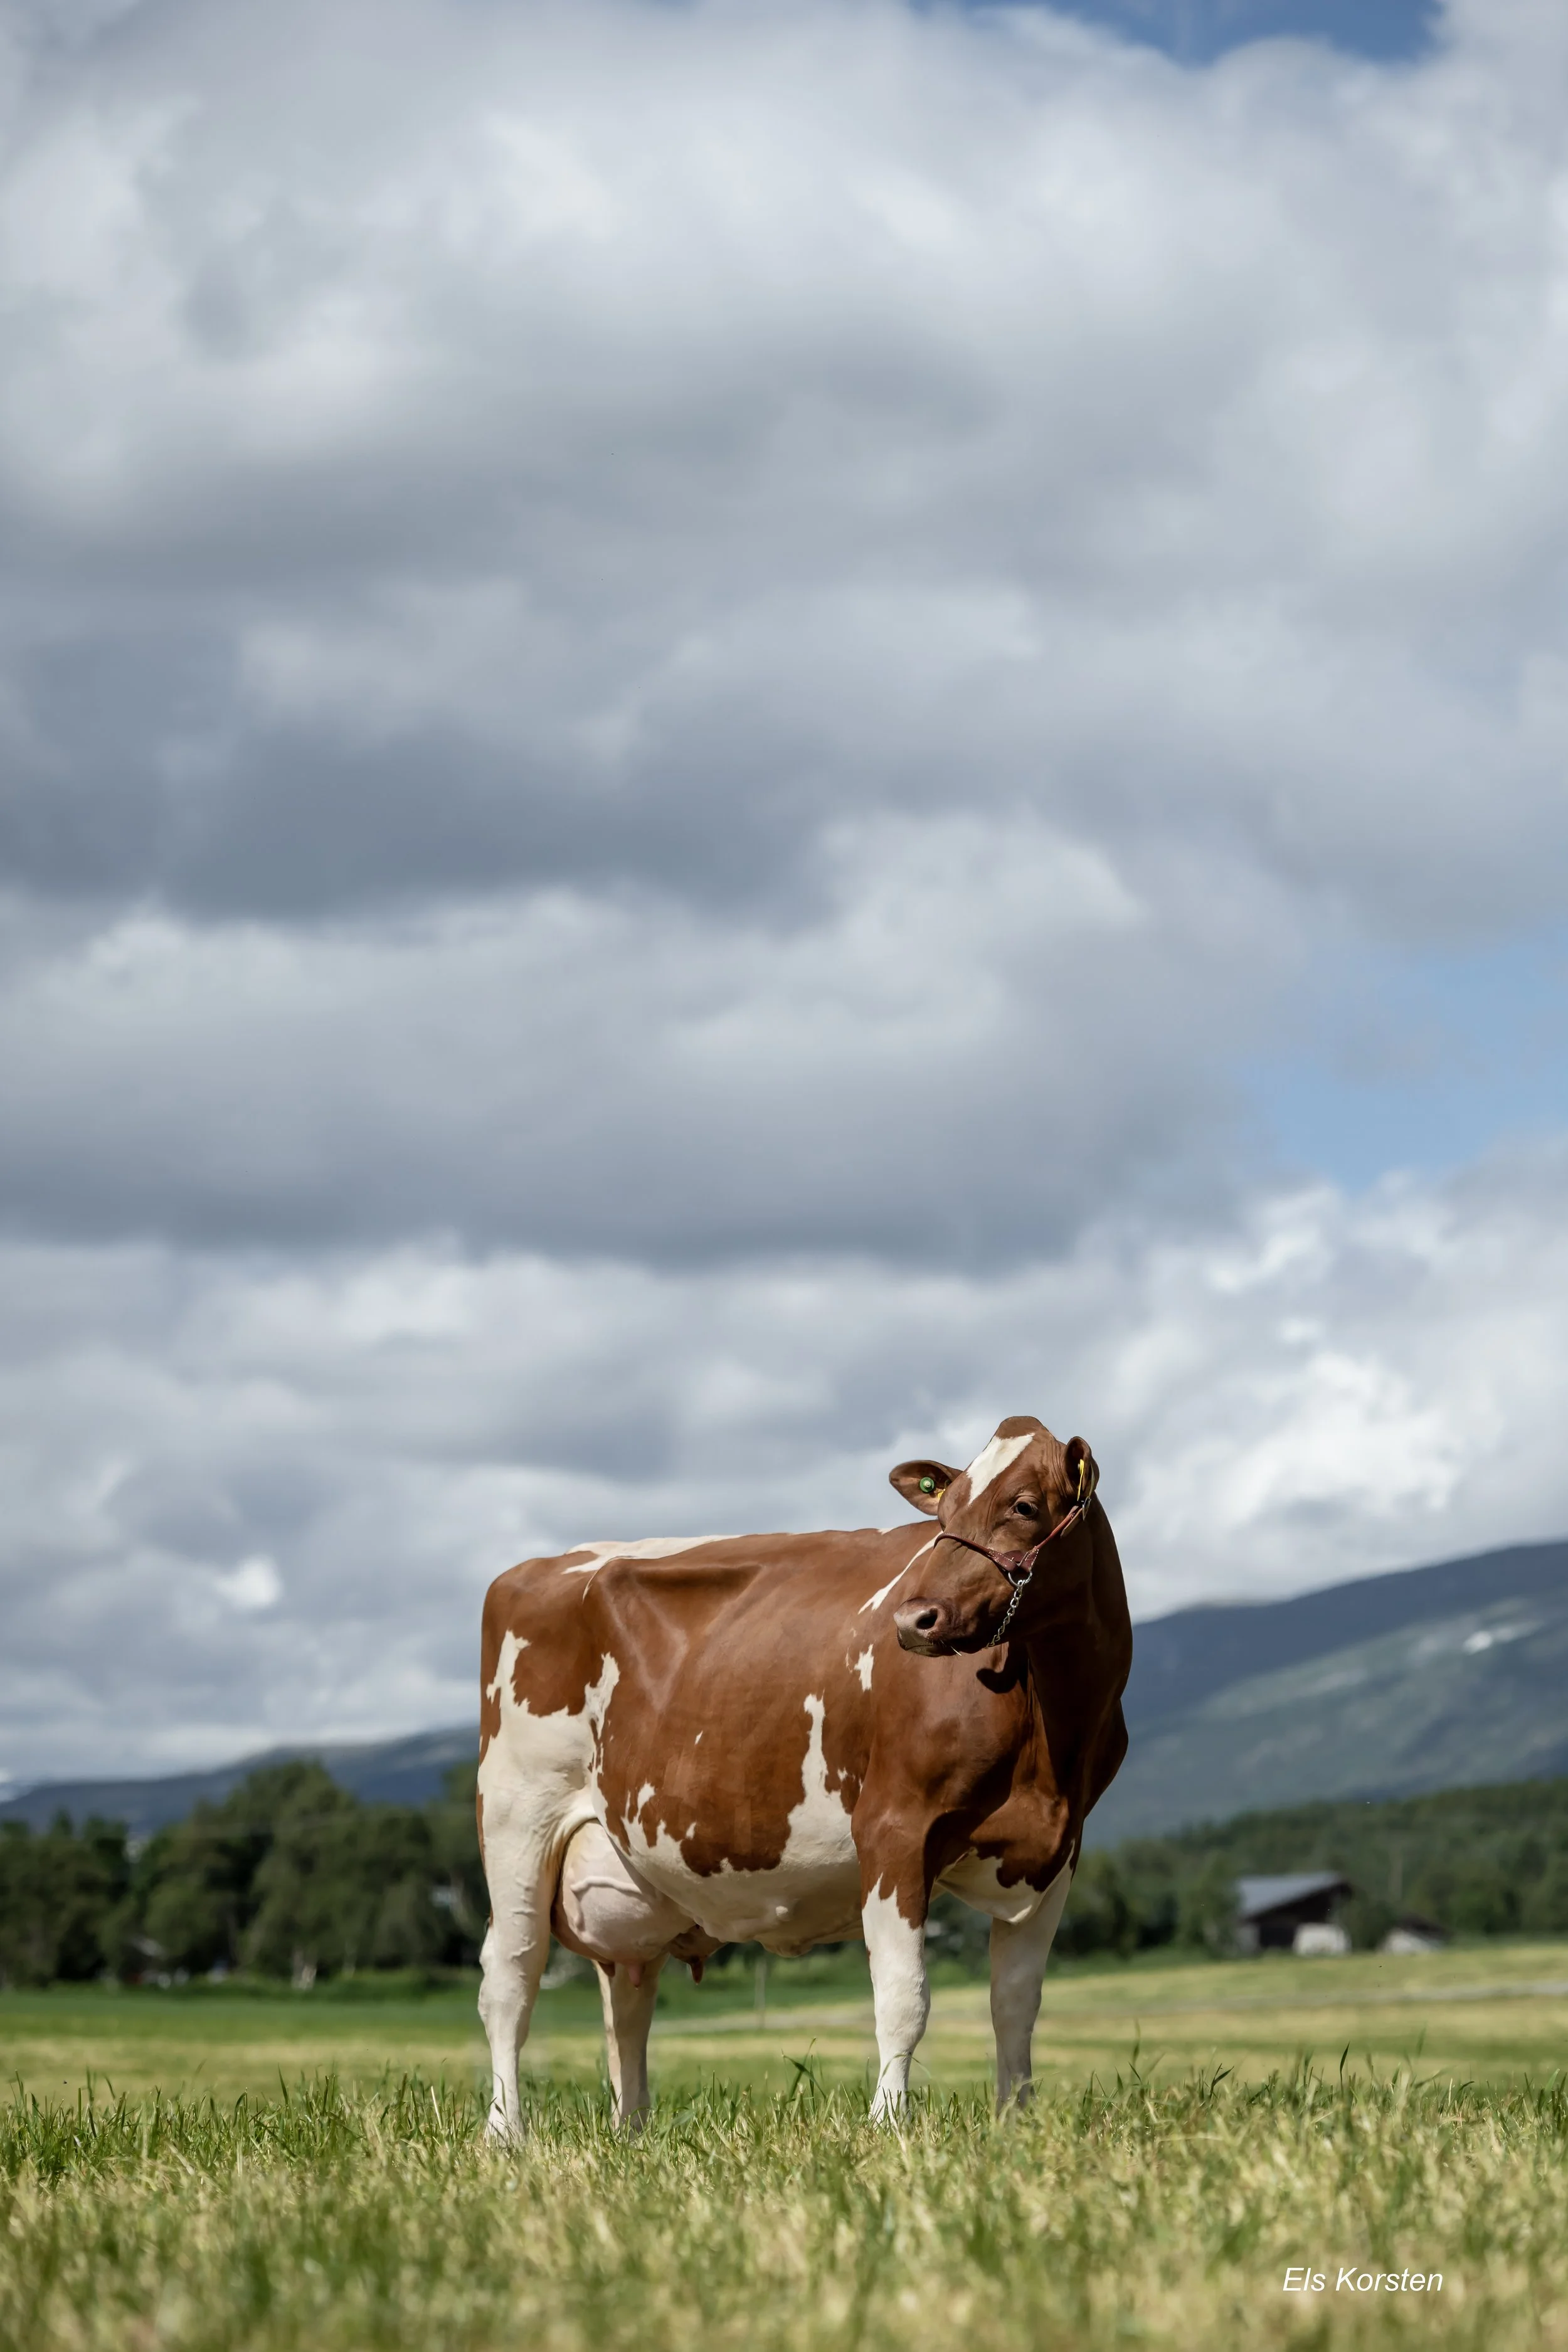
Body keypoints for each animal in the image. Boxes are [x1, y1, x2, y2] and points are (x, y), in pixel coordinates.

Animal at [476, 1413, 1131, 2133]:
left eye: (1024, 1506)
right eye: (946, 1511)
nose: (913, 1618)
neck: (1048, 1744)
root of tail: (535, 1566)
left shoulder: (1056, 1850)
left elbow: (1015, 2003)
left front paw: (1015, 2123)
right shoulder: (894, 1827)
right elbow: (903, 1997)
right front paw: (888, 2124)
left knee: (626, 1997)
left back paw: (632, 2129)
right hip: (517, 1814)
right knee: (510, 1977)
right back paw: (506, 2131)